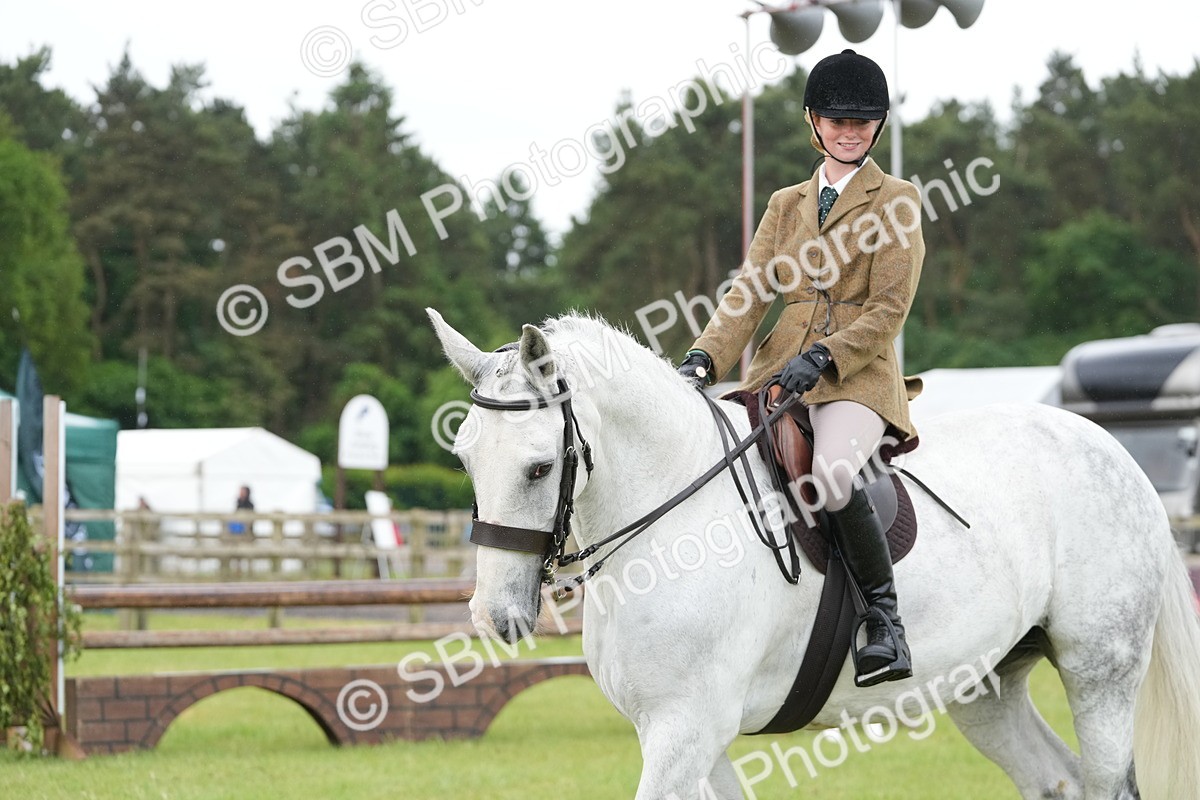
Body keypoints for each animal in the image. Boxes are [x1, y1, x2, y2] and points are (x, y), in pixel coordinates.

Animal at [427, 307, 1200, 800]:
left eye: (536, 468)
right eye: (464, 458)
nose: (495, 618)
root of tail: (1109, 449)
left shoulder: (686, 727)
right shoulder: (689, 734)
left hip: (1100, 671)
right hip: (987, 685)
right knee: (1054, 779)